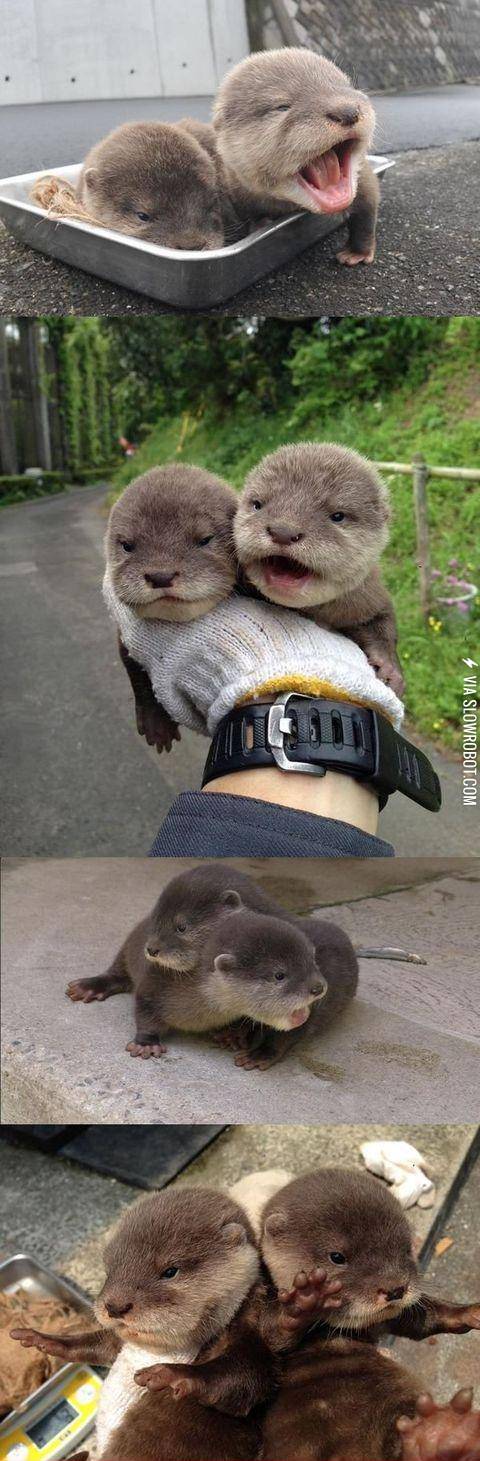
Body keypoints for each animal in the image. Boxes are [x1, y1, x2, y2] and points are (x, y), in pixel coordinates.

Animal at [104, 465, 238, 751]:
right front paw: (157, 724)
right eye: (128, 545)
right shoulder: (123, 639)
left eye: (205, 539)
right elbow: (135, 674)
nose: (161, 575)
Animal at [213, 47, 379, 266]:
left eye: (347, 87)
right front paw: (261, 223)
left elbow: (366, 212)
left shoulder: (364, 178)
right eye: (282, 106)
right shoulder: (237, 192)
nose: (348, 110)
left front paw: (357, 252)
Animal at [234, 441, 403, 694]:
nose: (283, 531)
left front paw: (390, 667)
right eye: (258, 504)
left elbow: (384, 623)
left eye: (337, 516)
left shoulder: (368, 597)